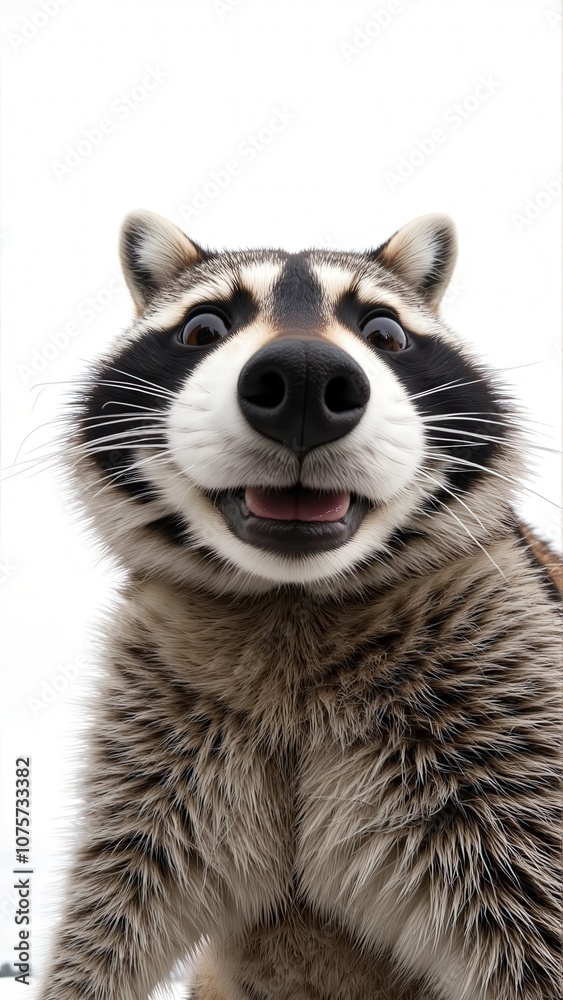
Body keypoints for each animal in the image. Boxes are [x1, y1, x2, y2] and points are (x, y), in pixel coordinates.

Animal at [38, 211, 561, 1000]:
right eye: (203, 327)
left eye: (384, 332)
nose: (307, 378)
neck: (292, 596)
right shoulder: (158, 732)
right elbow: (108, 917)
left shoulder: (504, 710)